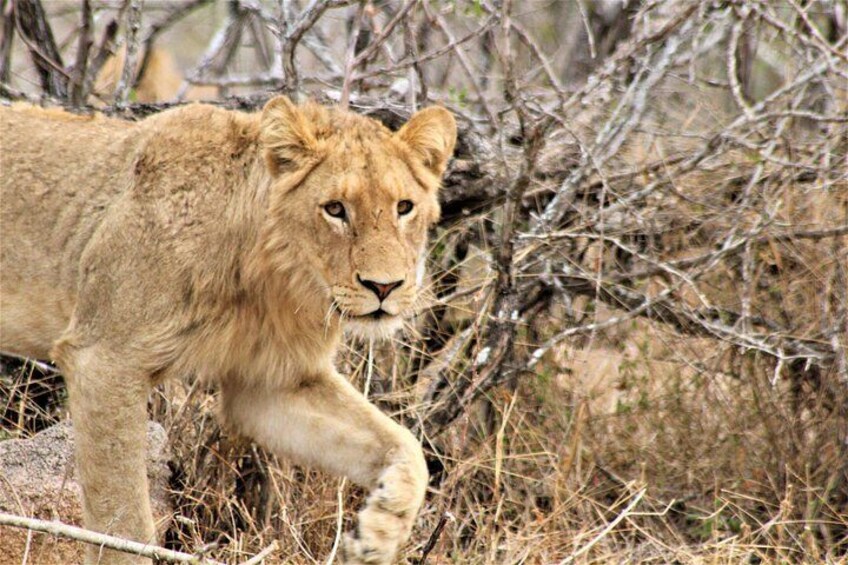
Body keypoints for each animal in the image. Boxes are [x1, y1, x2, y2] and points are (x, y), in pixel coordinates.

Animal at [0, 96, 456, 564]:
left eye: (404, 207)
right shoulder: (103, 358)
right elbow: (123, 522)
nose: (384, 287)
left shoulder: (273, 383)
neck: (268, 276)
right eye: (335, 209)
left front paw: (377, 534)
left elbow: (405, 446)